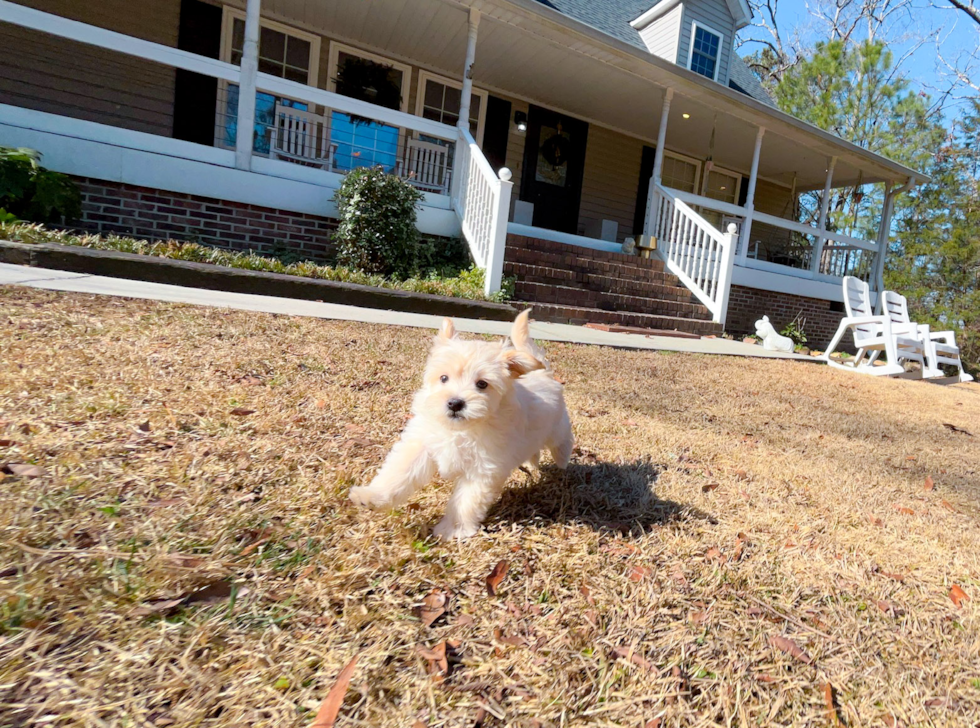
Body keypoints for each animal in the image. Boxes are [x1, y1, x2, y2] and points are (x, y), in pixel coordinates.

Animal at [348, 310, 572, 536]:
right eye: (443, 378)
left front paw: (452, 530)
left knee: (562, 442)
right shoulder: (421, 444)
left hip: (557, 428)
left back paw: (562, 462)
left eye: (482, 384)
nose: (455, 403)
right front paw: (372, 496)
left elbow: (466, 502)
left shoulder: (483, 468)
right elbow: (399, 472)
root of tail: (543, 374)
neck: (461, 429)